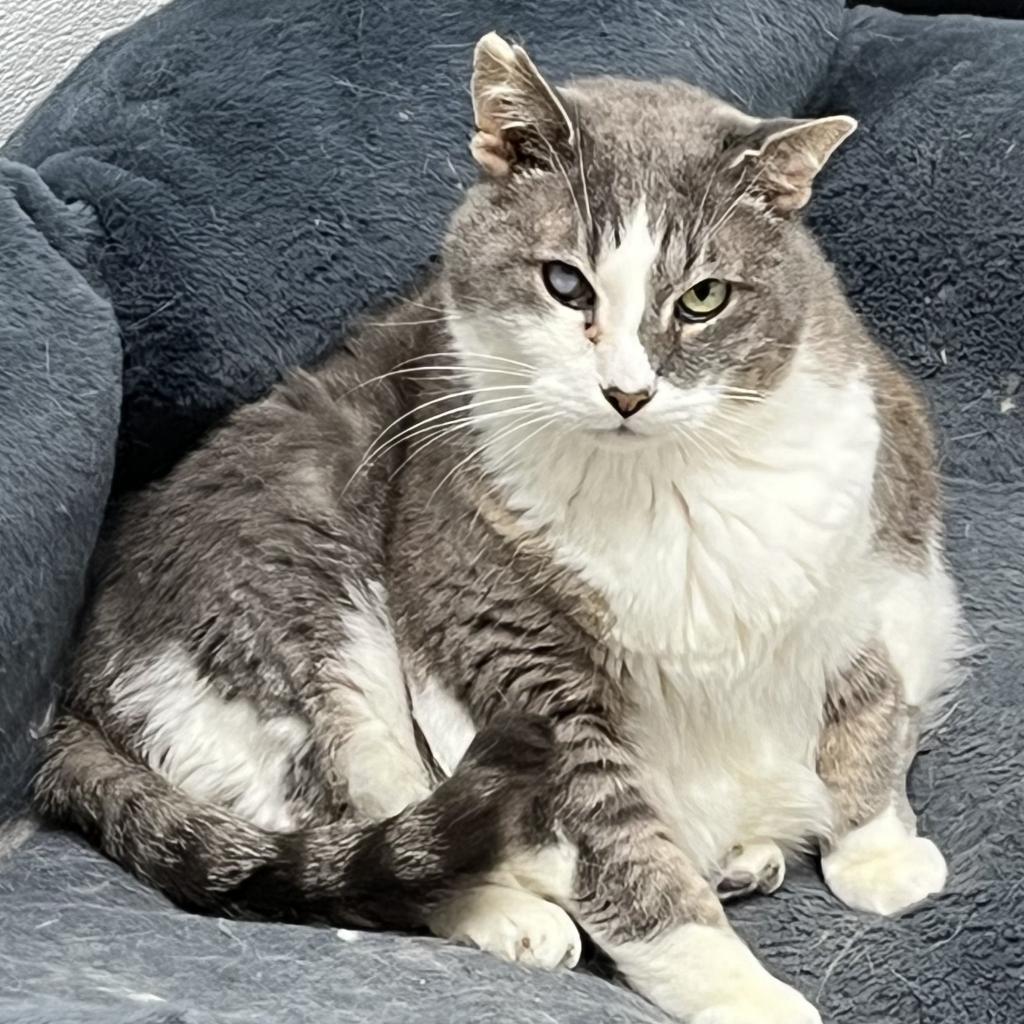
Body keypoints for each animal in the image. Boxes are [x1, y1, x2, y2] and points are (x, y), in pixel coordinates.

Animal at [34, 32, 958, 1024]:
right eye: (564, 284)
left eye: (704, 297)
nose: (628, 392)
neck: (665, 486)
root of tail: (75, 687)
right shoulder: (516, 665)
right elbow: (624, 859)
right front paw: (742, 993)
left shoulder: (862, 571)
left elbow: (870, 712)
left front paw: (878, 854)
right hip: (315, 619)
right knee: (366, 847)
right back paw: (521, 916)